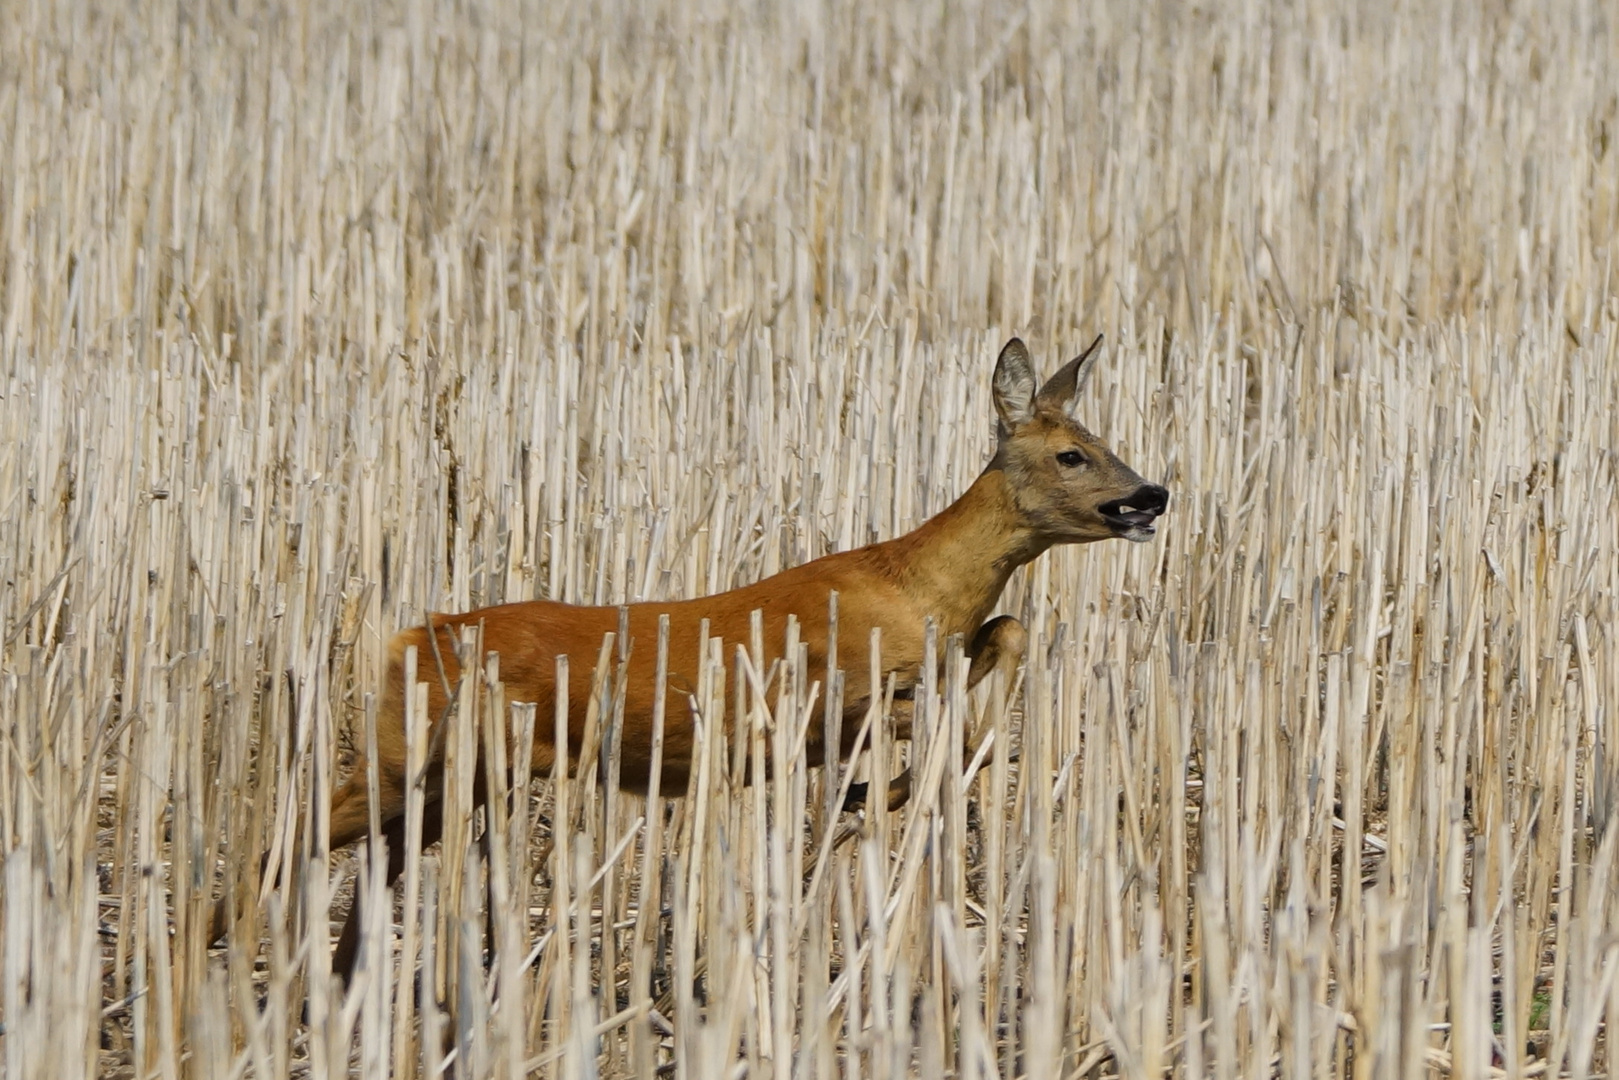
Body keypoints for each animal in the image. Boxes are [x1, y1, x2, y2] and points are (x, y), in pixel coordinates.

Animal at [218, 333, 1178, 984]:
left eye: (1105, 442)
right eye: (1072, 453)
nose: (1151, 494)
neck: (913, 584)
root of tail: (412, 636)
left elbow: (1006, 635)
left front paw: (866, 802)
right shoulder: (817, 695)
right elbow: (937, 725)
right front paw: (860, 807)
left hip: (457, 779)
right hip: (410, 755)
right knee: (291, 833)